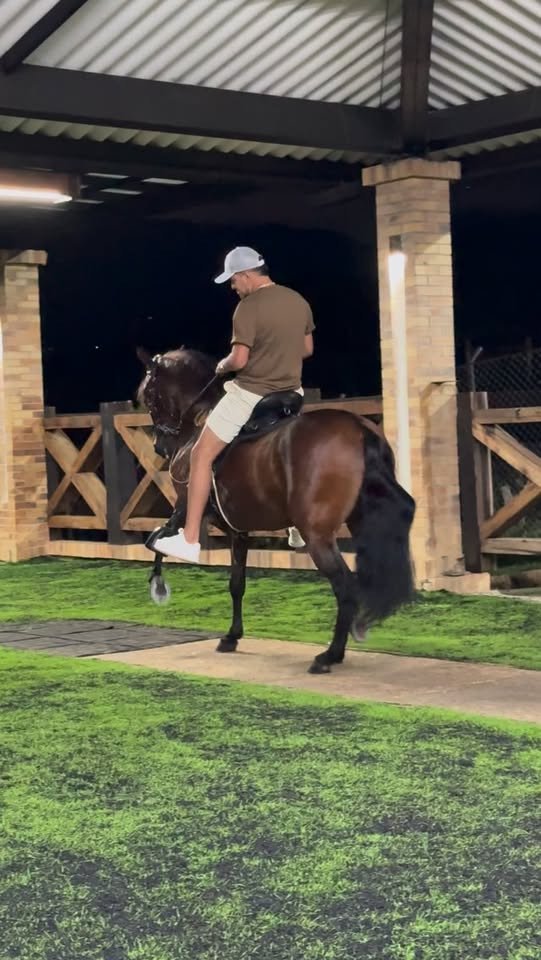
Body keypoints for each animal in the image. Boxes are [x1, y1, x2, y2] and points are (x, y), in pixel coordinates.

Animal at [136, 346, 416, 674]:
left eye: (150, 395)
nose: (160, 445)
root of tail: (359, 430)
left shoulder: (187, 507)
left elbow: (157, 540)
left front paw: (158, 585)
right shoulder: (238, 530)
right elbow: (237, 583)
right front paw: (232, 636)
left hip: (318, 536)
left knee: (345, 586)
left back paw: (330, 654)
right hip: (360, 522)